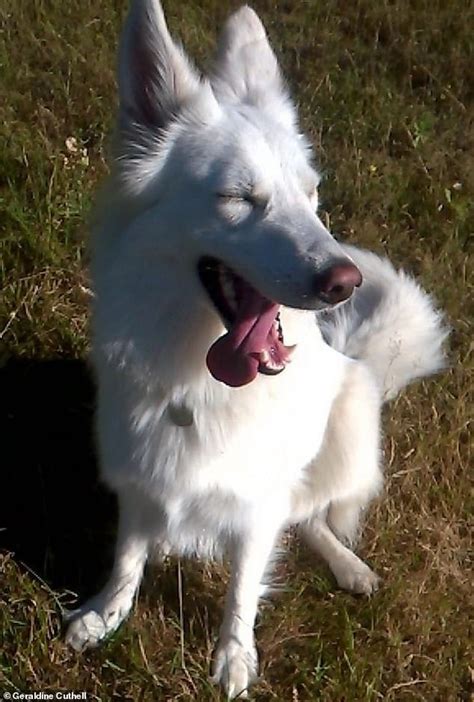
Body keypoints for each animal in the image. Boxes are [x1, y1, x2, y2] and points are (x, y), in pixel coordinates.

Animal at [65, 2, 446, 700]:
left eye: (311, 195)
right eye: (239, 197)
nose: (344, 280)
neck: (199, 380)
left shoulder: (259, 499)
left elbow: (243, 583)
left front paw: (233, 658)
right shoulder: (140, 471)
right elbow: (129, 555)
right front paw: (107, 613)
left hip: (348, 429)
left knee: (314, 515)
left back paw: (350, 567)